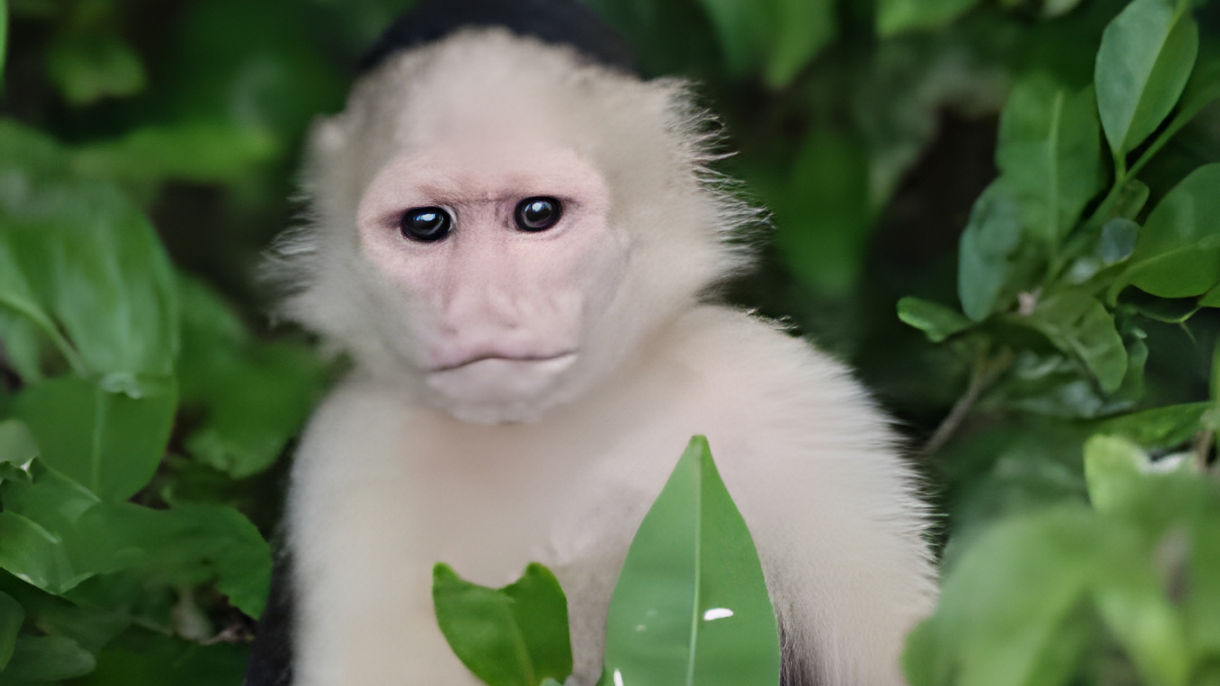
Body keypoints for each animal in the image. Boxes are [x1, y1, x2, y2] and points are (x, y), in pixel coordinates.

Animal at [245, 0, 937, 684]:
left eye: (536, 213)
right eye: (426, 224)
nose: (481, 305)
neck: (546, 427)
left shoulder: (793, 404)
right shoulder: (348, 453)